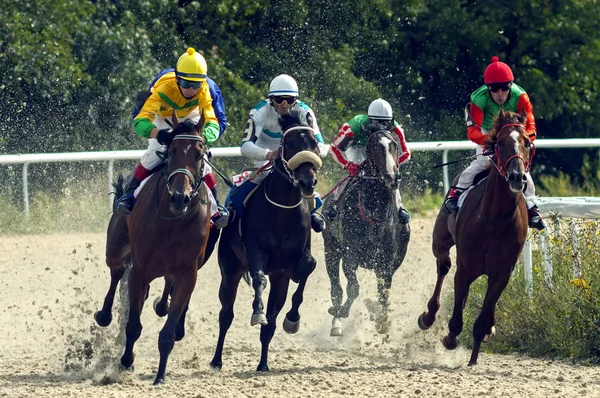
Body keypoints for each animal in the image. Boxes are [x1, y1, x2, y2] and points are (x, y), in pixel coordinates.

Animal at [95, 112, 212, 386]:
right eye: (171, 151)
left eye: (199, 154)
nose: (180, 197)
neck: (172, 220)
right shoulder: (140, 270)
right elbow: (133, 326)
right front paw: (126, 362)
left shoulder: (187, 273)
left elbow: (167, 332)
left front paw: (160, 376)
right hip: (115, 247)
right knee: (116, 272)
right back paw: (104, 315)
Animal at [211, 110, 324, 372]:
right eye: (289, 144)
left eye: (313, 144)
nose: (307, 183)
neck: (283, 209)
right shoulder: (255, 252)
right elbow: (259, 279)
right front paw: (257, 312)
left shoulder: (287, 268)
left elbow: (307, 267)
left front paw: (292, 319)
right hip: (229, 269)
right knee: (226, 315)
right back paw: (216, 360)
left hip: (278, 280)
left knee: (270, 326)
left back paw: (263, 364)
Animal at [324, 129, 412, 338]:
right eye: (375, 148)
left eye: (394, 145)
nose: (392, 177)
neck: (374, 215)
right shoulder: (350, 257)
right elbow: (353, 288)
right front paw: (340, 311)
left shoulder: (386, 263)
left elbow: (383, 292)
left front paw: (382, 319)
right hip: (331, 249)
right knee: (336, 287)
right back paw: (336, 322)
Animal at [418, 110, 536, 366]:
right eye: (499, 142)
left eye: (528, 143)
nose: (517, 177)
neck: (496, 219)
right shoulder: (465, 267)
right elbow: (456, 317)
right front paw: (450, 338)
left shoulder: (503, 272)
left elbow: (483, 316)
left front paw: (473, 358)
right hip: (441, 241)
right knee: (443, 267)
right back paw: (428, 316)